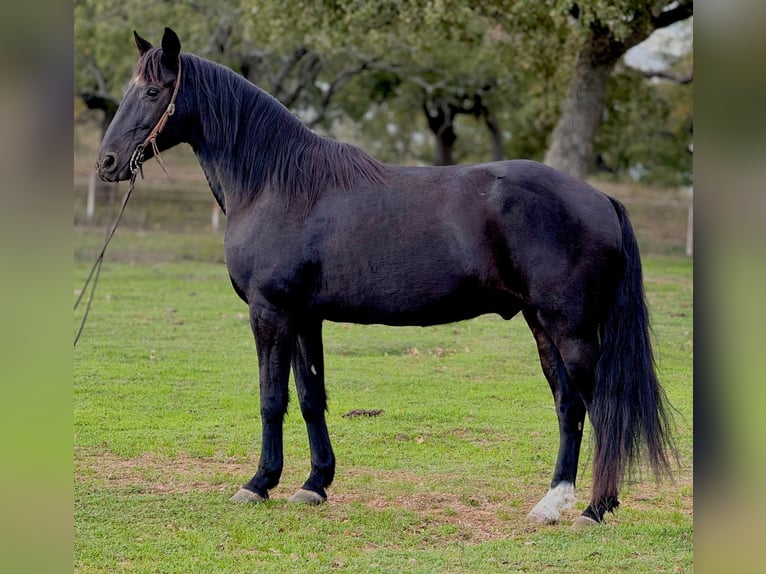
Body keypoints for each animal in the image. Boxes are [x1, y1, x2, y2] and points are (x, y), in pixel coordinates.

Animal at [97, 29, 680, 528]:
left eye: (152, 91)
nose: (107, 162)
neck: (278, 184)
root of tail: (600, 198)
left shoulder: (270, 312)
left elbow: (271, 398)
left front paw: (258, 483)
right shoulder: (304, 317)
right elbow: (310, 397)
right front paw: (314, 484)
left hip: (571, 328)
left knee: (599, 406)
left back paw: (596, 509)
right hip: (542, 324)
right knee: (568, 405)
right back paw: (553, 503)